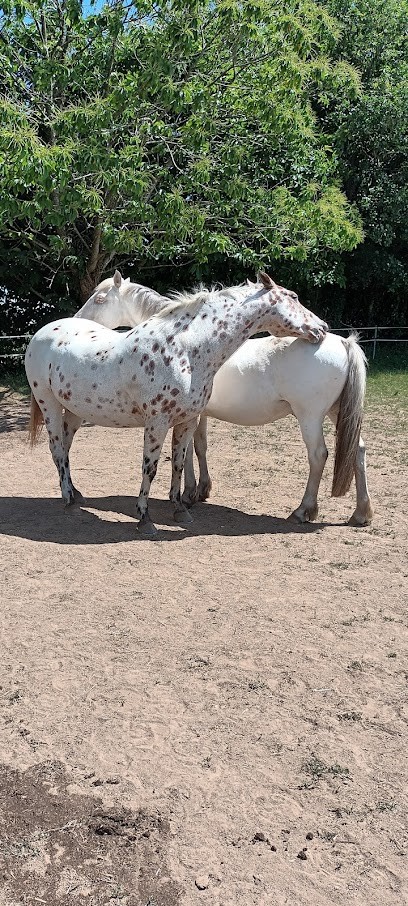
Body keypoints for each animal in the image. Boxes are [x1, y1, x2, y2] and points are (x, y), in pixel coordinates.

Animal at [25, 273, 328, 535]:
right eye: (294, 296)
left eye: (99, 299)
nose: (321, 328)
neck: (183, 349)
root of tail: (42, 333)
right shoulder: (157, 422)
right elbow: (151, 467)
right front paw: (145, 518)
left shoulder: (188, 420)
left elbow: (180, 463)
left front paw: (181, 508)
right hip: (49, 403)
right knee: (57, 449)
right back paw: (69, 500)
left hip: (76, 410)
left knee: (65, 446)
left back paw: (75, 493)